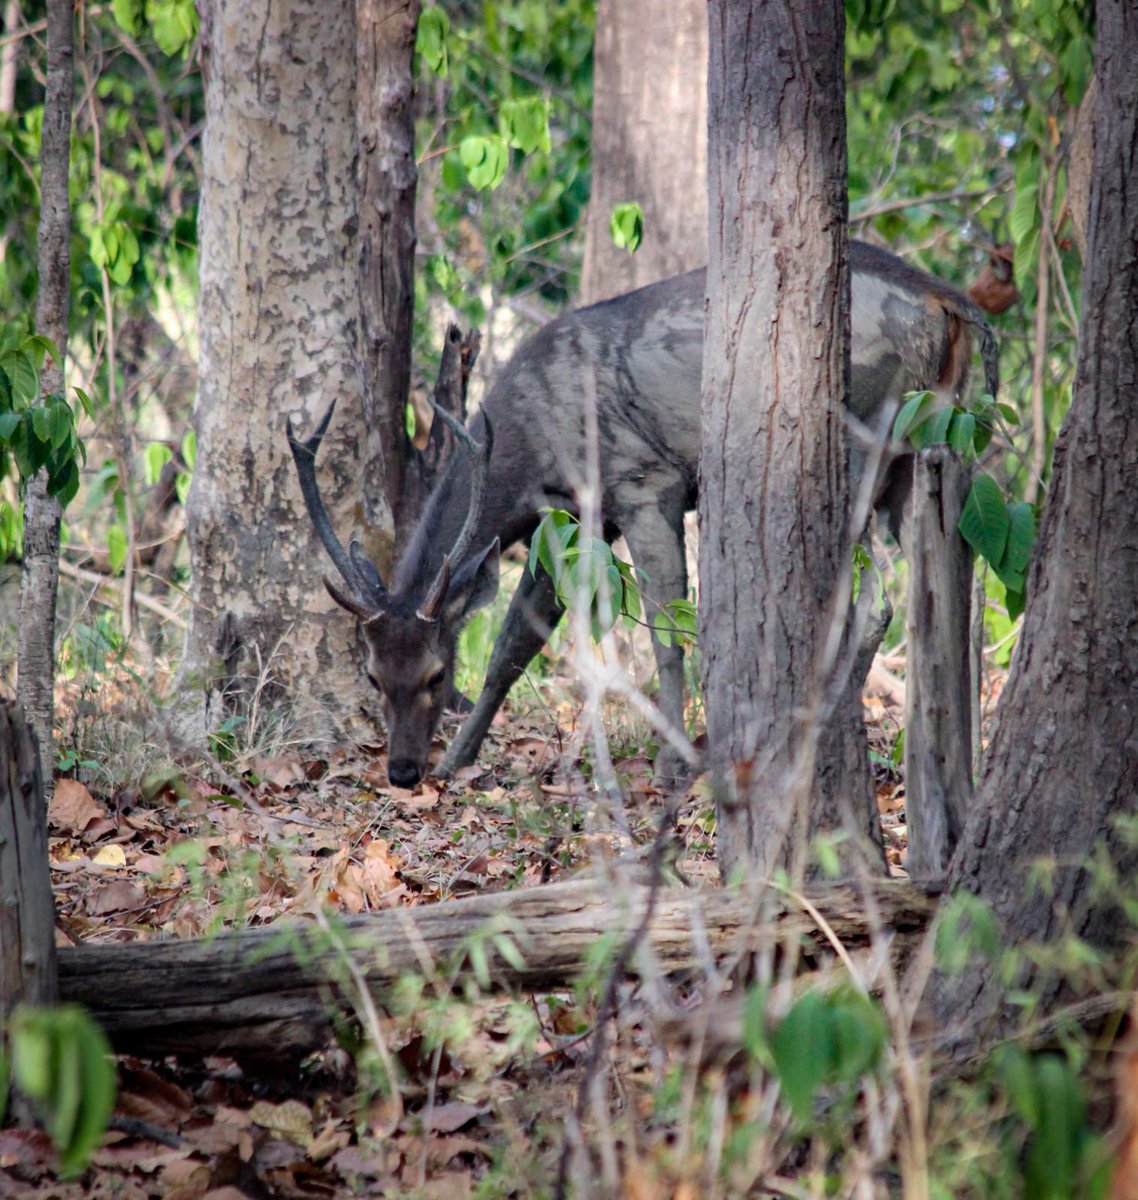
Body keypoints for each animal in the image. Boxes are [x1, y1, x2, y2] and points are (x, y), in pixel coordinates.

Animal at [286, 242, 993, 787]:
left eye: (435, 675)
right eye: (374, 677)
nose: (403, 771)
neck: (523, 447)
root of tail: (951, 306)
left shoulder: (642, 481)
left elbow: (666, 630)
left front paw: (672, 763)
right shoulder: (574, 516)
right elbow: (515, 643)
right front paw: (458, 760)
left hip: (860, 439)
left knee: (871, 600)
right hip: (926, 451)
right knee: (935, 595)